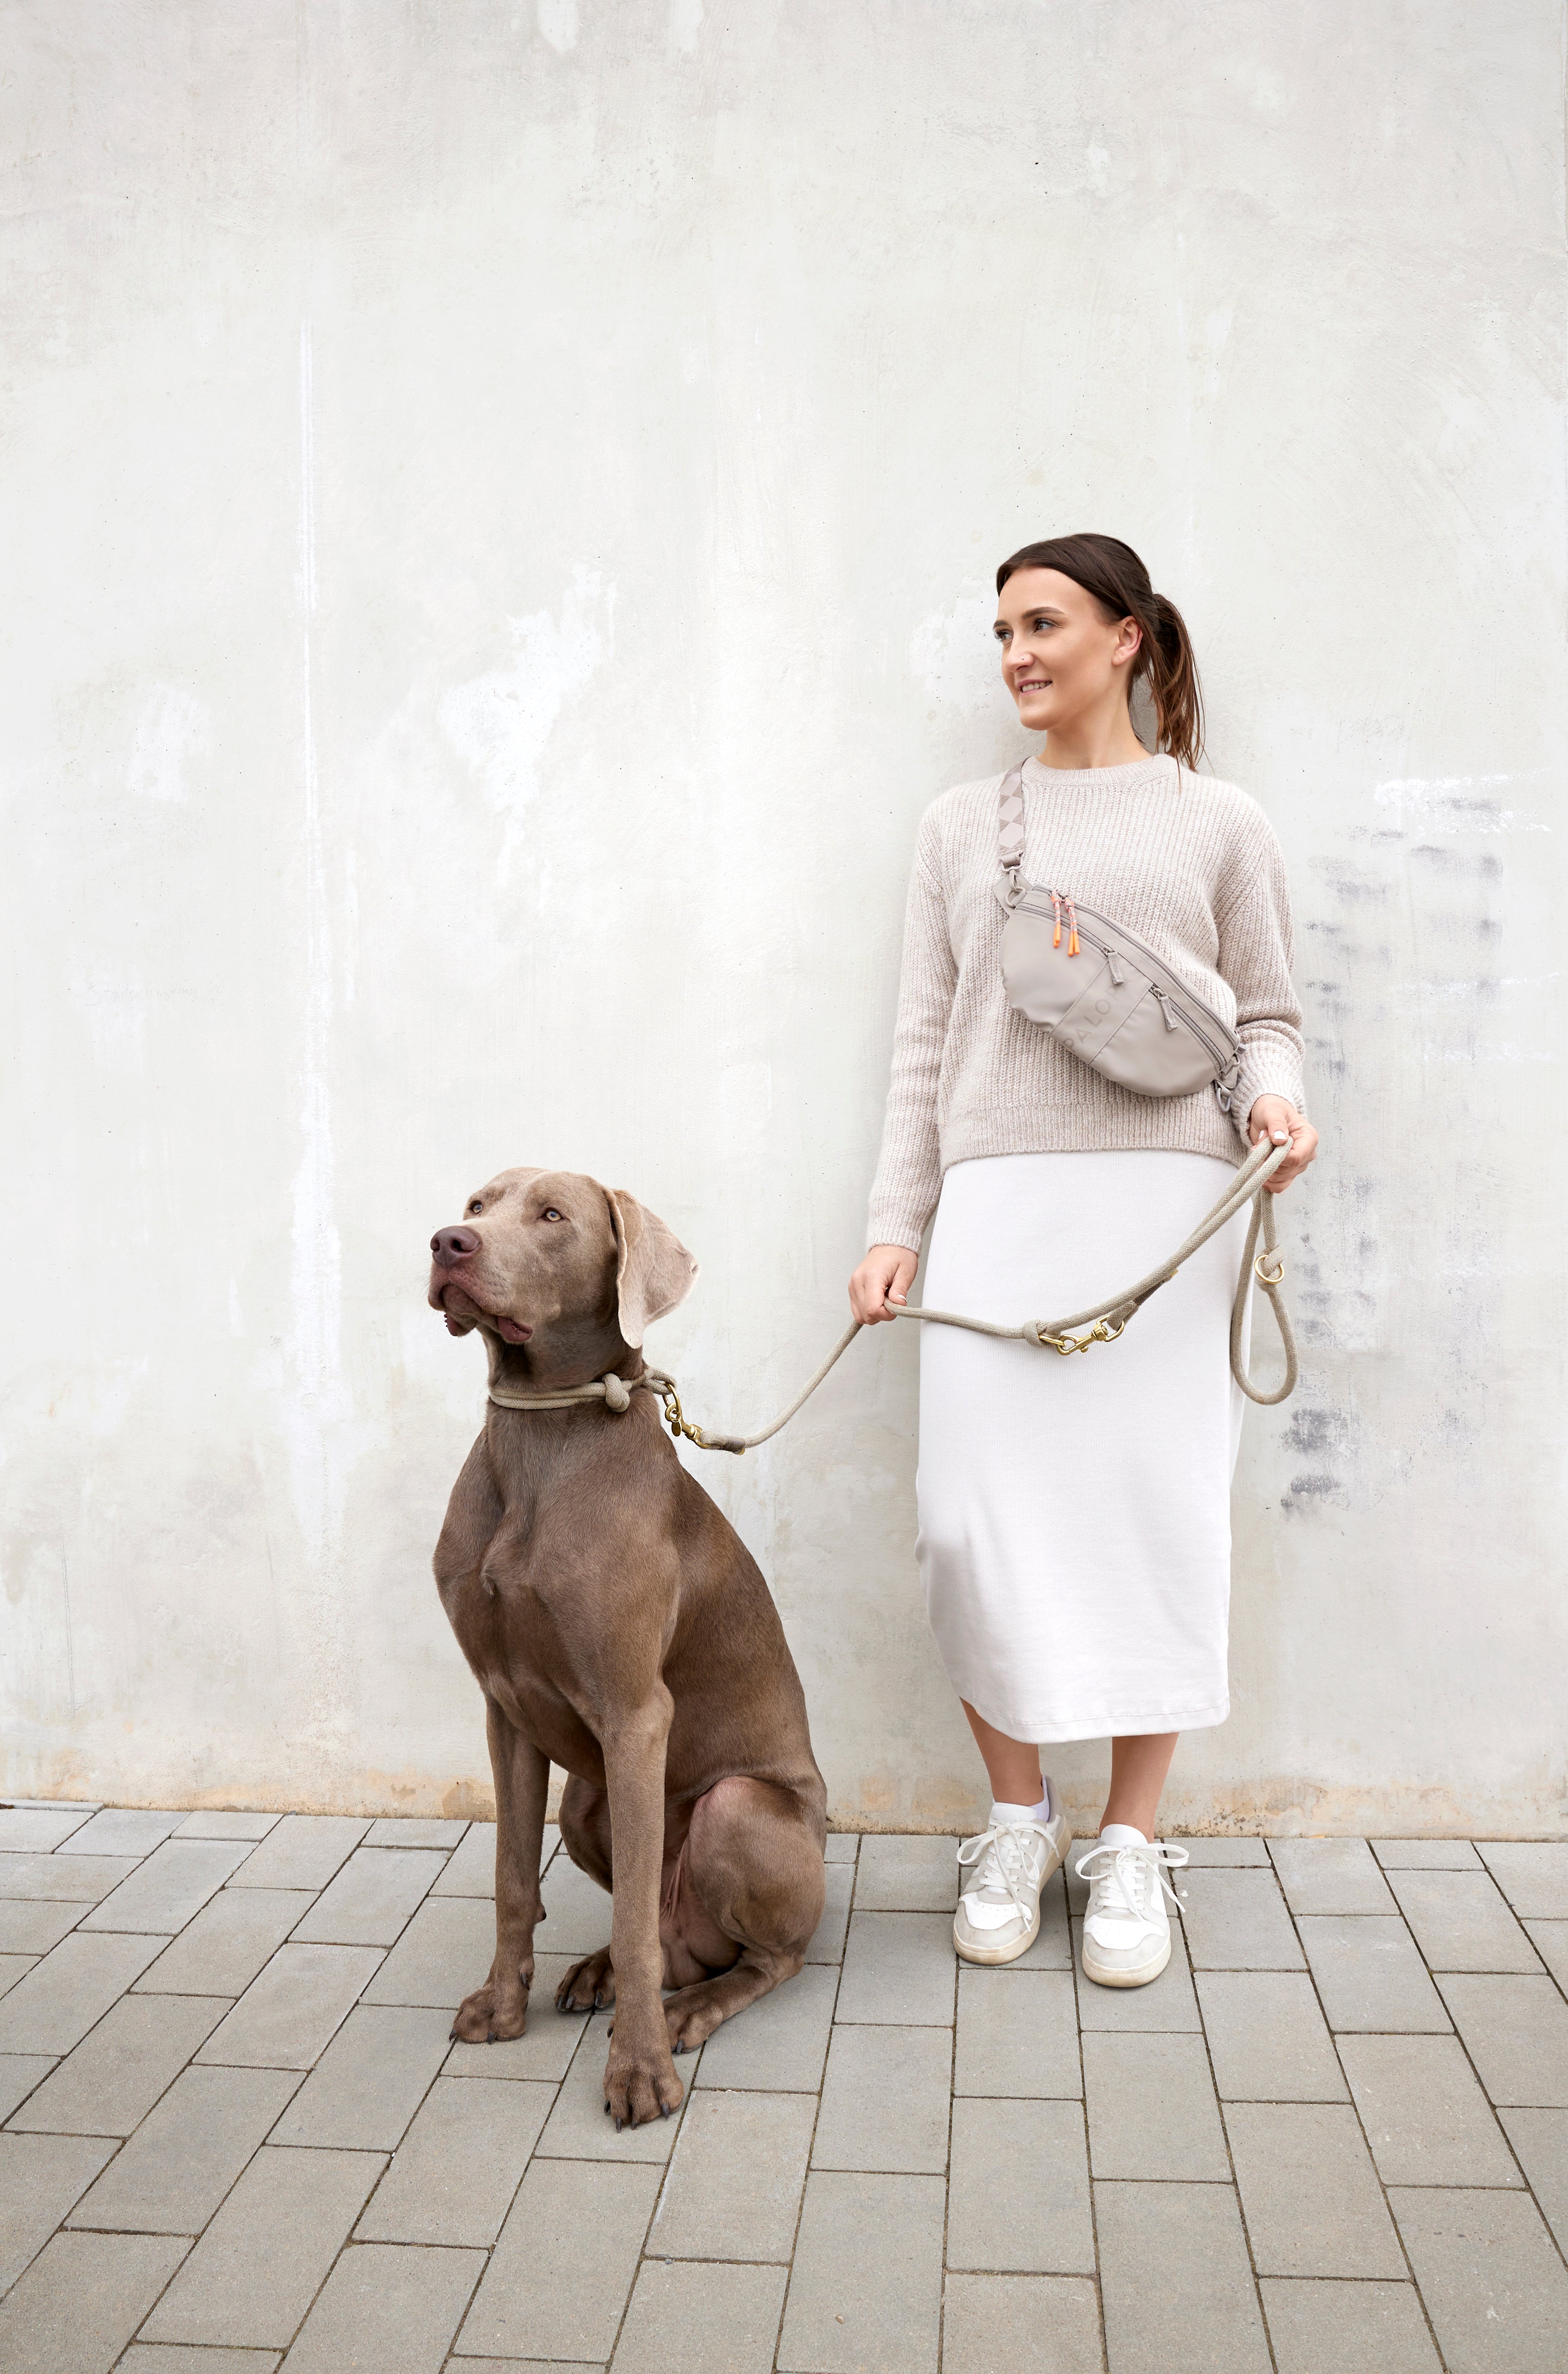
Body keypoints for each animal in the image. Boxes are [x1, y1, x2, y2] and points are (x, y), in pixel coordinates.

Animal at [422, 1177, 825, 2127]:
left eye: (552, 1216)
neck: (542, 1437)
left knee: (754, 1958)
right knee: (661, 1931)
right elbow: (512, 1879)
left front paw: (639, 2067)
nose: (447, 1241)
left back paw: (687, 2011)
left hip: (737, 1807)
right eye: (478, 1202)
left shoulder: (638, 1716)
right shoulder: (504, 1710)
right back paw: (600, 1973)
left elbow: (636, 1918)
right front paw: (502, 2005)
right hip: (586, 1801)